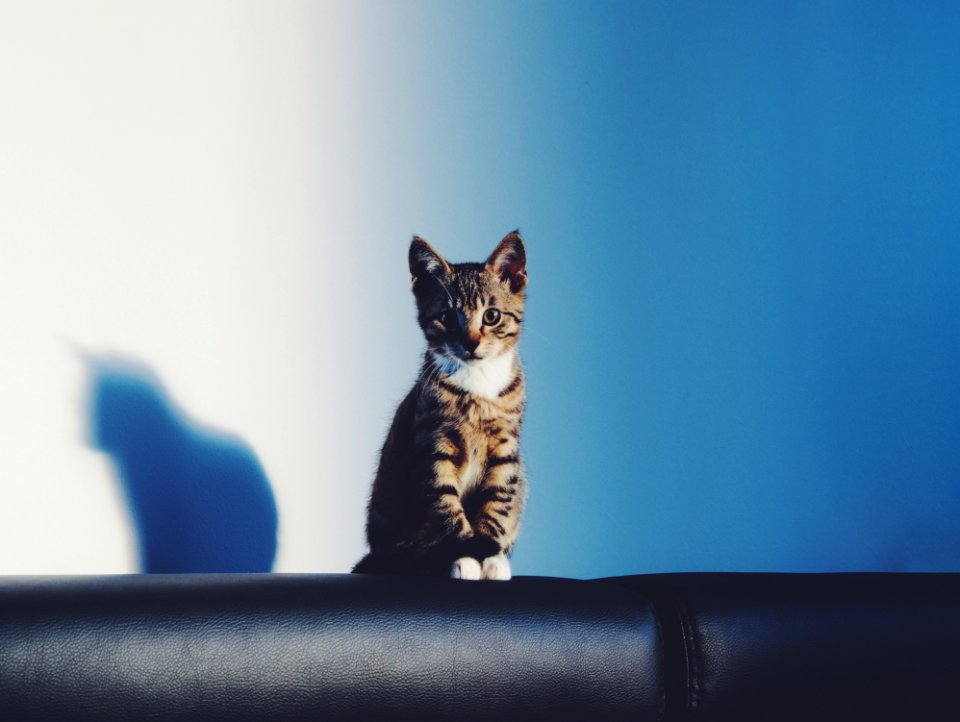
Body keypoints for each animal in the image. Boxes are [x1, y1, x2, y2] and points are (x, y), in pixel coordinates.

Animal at [354, 231, 528, 580]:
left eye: (492, 316)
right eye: (447, 318)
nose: (471, 343)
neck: (479, 386)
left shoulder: (505, 448)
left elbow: (497, 501)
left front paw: (489, 554)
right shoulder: (433, 443)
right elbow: (445, 502)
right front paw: (464, 554)